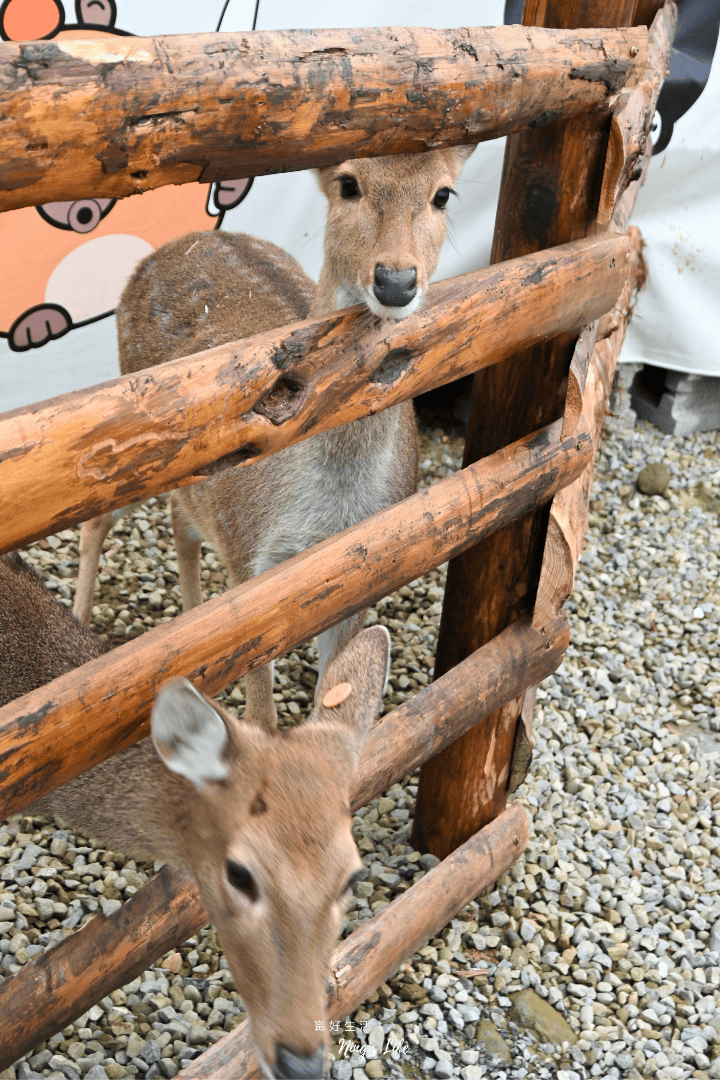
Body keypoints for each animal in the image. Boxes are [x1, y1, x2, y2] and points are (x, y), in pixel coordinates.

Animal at [72, 146, 475, 728]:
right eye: (348, 183)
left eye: (442, 194)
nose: (395, 280)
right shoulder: (251, 560)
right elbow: (262, 716)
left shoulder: (366, 570)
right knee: (99, 518)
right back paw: (81, 629)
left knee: (181, 523)